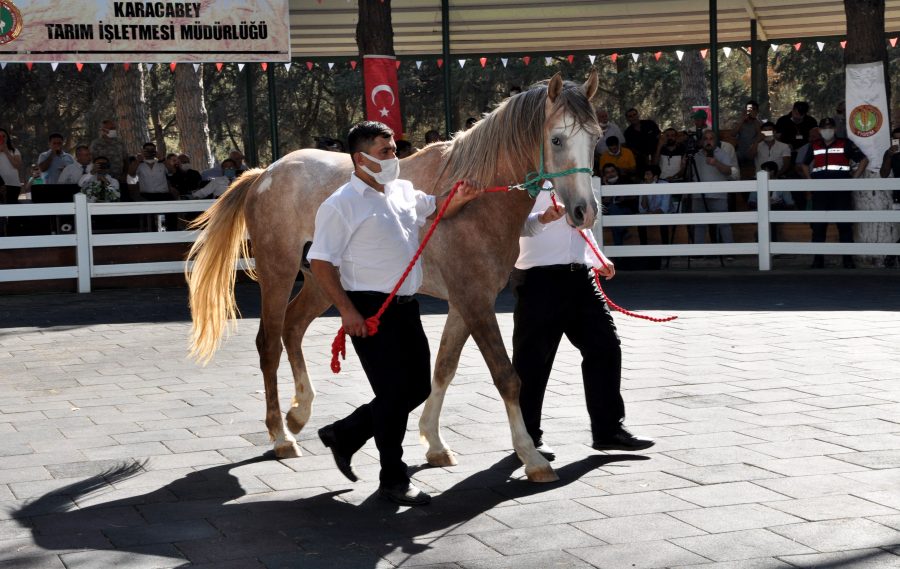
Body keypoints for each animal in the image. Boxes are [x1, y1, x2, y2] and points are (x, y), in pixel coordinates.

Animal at [185, 69, 596, 482]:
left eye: (594, 137)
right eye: (557, 139)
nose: (584, 211)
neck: (477, 201)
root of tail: (266, 173)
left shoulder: (465, 302)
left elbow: (443, 368)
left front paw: (434, 443)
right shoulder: (475, 300)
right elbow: (506, 376)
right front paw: (531, 456)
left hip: (320, 283)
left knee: (292, 327)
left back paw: (300, 412)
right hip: (278, 272)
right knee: (269, 343)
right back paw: (282, 435)